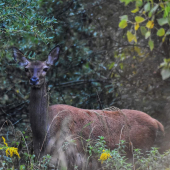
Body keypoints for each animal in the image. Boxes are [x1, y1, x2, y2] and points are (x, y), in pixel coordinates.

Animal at [12, 45, 165, 169]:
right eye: (26, 69)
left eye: (45, 68)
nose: (34, 80)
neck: (42, 133)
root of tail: (157, 123)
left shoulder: (72, 155)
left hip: (141, 151)